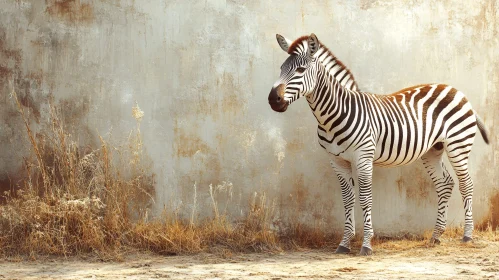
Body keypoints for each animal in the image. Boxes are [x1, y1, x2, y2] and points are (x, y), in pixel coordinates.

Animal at [268, 33, 490, 256]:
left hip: (458, 144)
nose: (272, 99)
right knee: (445, 183)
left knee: (466, 184)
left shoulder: (363, 158)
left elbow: (365, 198)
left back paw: (467, 236)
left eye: (300, 70)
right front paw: (344, 243)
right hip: (432, 150)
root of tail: (457, 91)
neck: (334, 114)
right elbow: (348, 199)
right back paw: (436, 236)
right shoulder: (337, 161)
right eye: (281, 68)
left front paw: (366, 245)